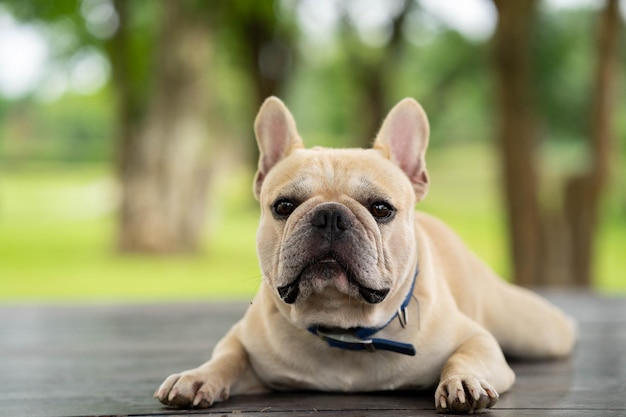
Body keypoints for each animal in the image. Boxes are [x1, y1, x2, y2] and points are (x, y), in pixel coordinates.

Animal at [154, 96, 572, 412]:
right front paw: (196, 377)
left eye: (381, 209)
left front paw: (464, 381)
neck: (344, 328)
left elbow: (465, 354)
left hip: (535, 331)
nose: (330, 215)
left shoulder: (477, 339)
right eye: (284, 206)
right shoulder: (242, 341)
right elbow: (226, 356)